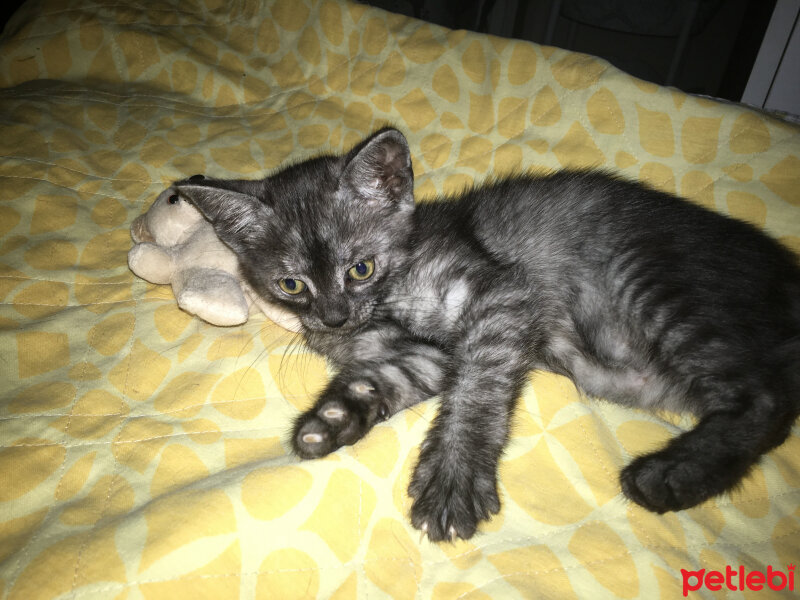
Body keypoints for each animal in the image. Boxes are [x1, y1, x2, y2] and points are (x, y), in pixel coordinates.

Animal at [177, 129, 800, 540]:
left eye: (360, 268)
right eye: (291, 285)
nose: (332, 318)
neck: (386, 302)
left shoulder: (504, 297)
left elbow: (477, 390)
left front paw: (454, 475)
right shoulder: (425, 357)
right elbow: (386, 379)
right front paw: (331, 419)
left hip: (651, 278)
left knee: (769, 400)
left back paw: (669, 476)